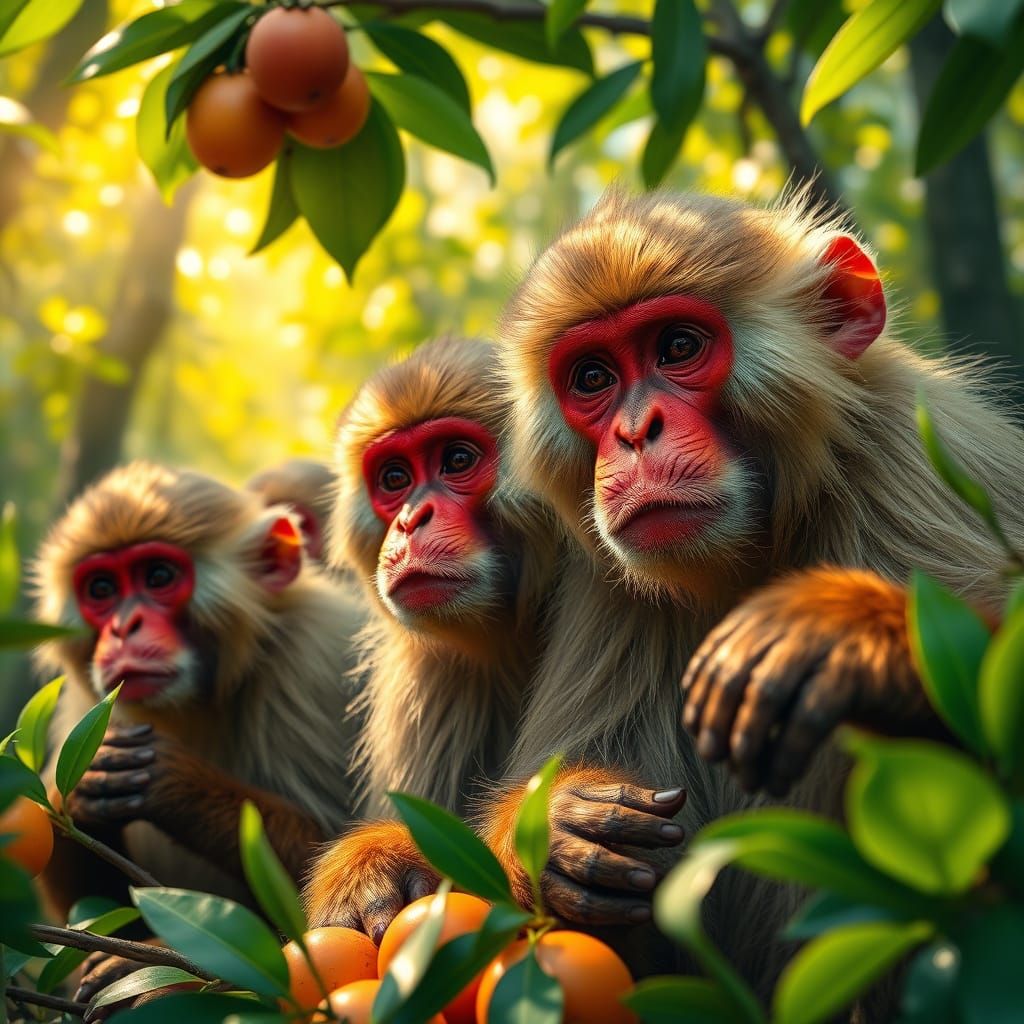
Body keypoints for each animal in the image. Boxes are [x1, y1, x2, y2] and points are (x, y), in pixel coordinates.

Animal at [32, 462, 365, 1000]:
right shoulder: (86, 706)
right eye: (101, 590)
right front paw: (83, 793)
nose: (124, 627)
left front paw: (174, 784)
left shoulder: (319, 658)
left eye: (159, 576)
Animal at [477, 188, 1024, 999]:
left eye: (677, 347)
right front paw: (553, 834)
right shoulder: (611, 587)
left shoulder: (922, 462)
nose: (637, 432)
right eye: (593, 379)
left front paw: (853, 636)